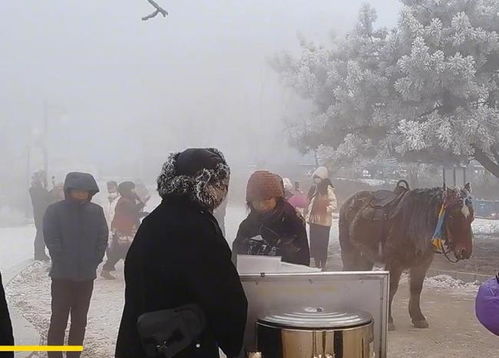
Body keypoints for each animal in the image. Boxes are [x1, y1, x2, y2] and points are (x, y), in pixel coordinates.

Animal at [340, 182, 472, 330]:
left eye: (471, 217)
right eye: (452, 217)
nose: (465, 251)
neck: (413, 224)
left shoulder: (422, 264)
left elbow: (416, 288)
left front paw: (418, 317)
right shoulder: (394, 263)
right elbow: (391, 288)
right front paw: (389, 320)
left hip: (365, 256)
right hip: (349, 252)